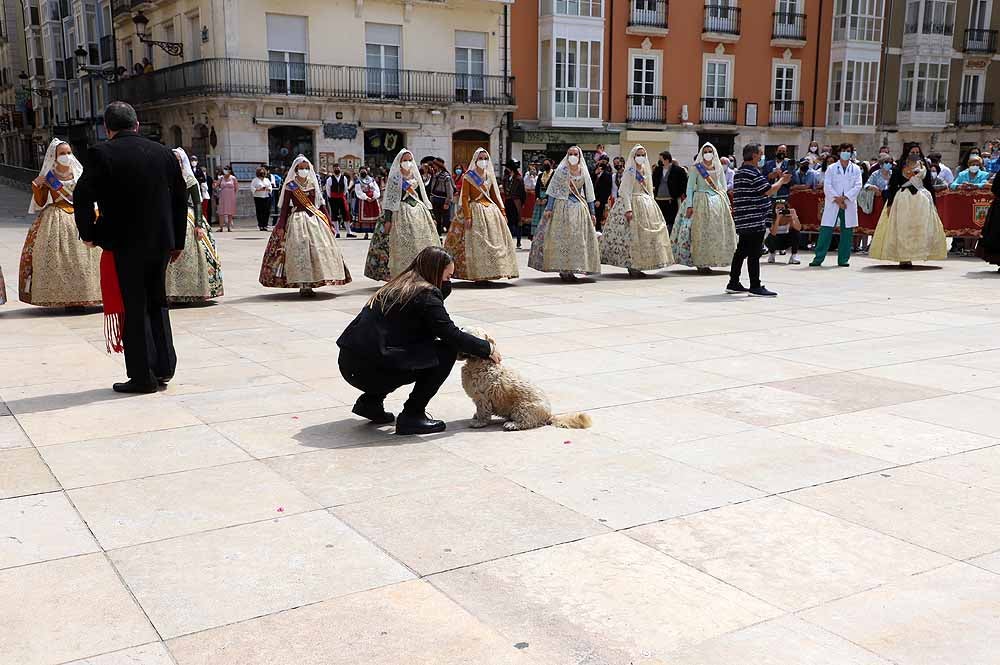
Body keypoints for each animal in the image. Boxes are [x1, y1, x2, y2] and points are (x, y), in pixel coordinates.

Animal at [460, 326, 592, 430]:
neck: (480, 363)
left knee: (527, 422)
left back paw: (512, 425)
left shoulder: (482, 396)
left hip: (523, 407)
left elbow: (483, 411)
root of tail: (548, 415)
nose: (460, 328)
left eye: (469, 333)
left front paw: (479, 422)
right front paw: (476, 416)